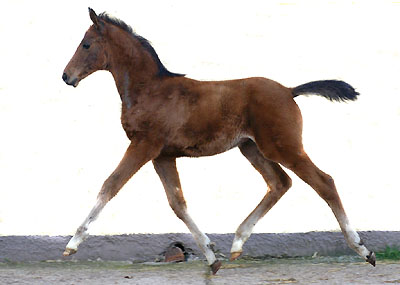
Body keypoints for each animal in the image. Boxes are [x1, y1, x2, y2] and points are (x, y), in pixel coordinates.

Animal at [61, 7, 376, 272]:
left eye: (86, 44)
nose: (66, 76)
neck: (149, 89)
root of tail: (289, 90)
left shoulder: (144, 145)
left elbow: (110, 185)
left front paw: (72, 244)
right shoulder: (163, 154)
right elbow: (177, 203)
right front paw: (212, 257)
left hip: (282, 147)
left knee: (324, 182)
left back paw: (363, 249)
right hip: (251, 148)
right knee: (279, 183)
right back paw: (237, 243)